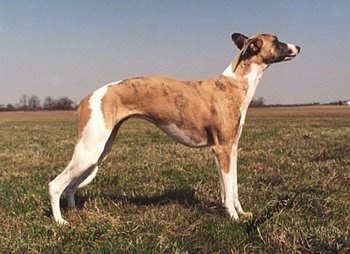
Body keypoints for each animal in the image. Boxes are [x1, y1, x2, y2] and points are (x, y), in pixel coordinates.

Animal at [48, 31, 300, 224]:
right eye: (276, 40)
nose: (298, 46)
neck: (234, 84)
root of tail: (85, 99)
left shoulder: (231, 149)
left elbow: (232, 188)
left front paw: (241, 213)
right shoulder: (222, 150)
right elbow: (228, 191)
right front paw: (233, 219)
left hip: (99, 151)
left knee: (71, 186)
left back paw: (72, 211)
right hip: (89, 152)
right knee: (55, 185)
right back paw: (61, 222)